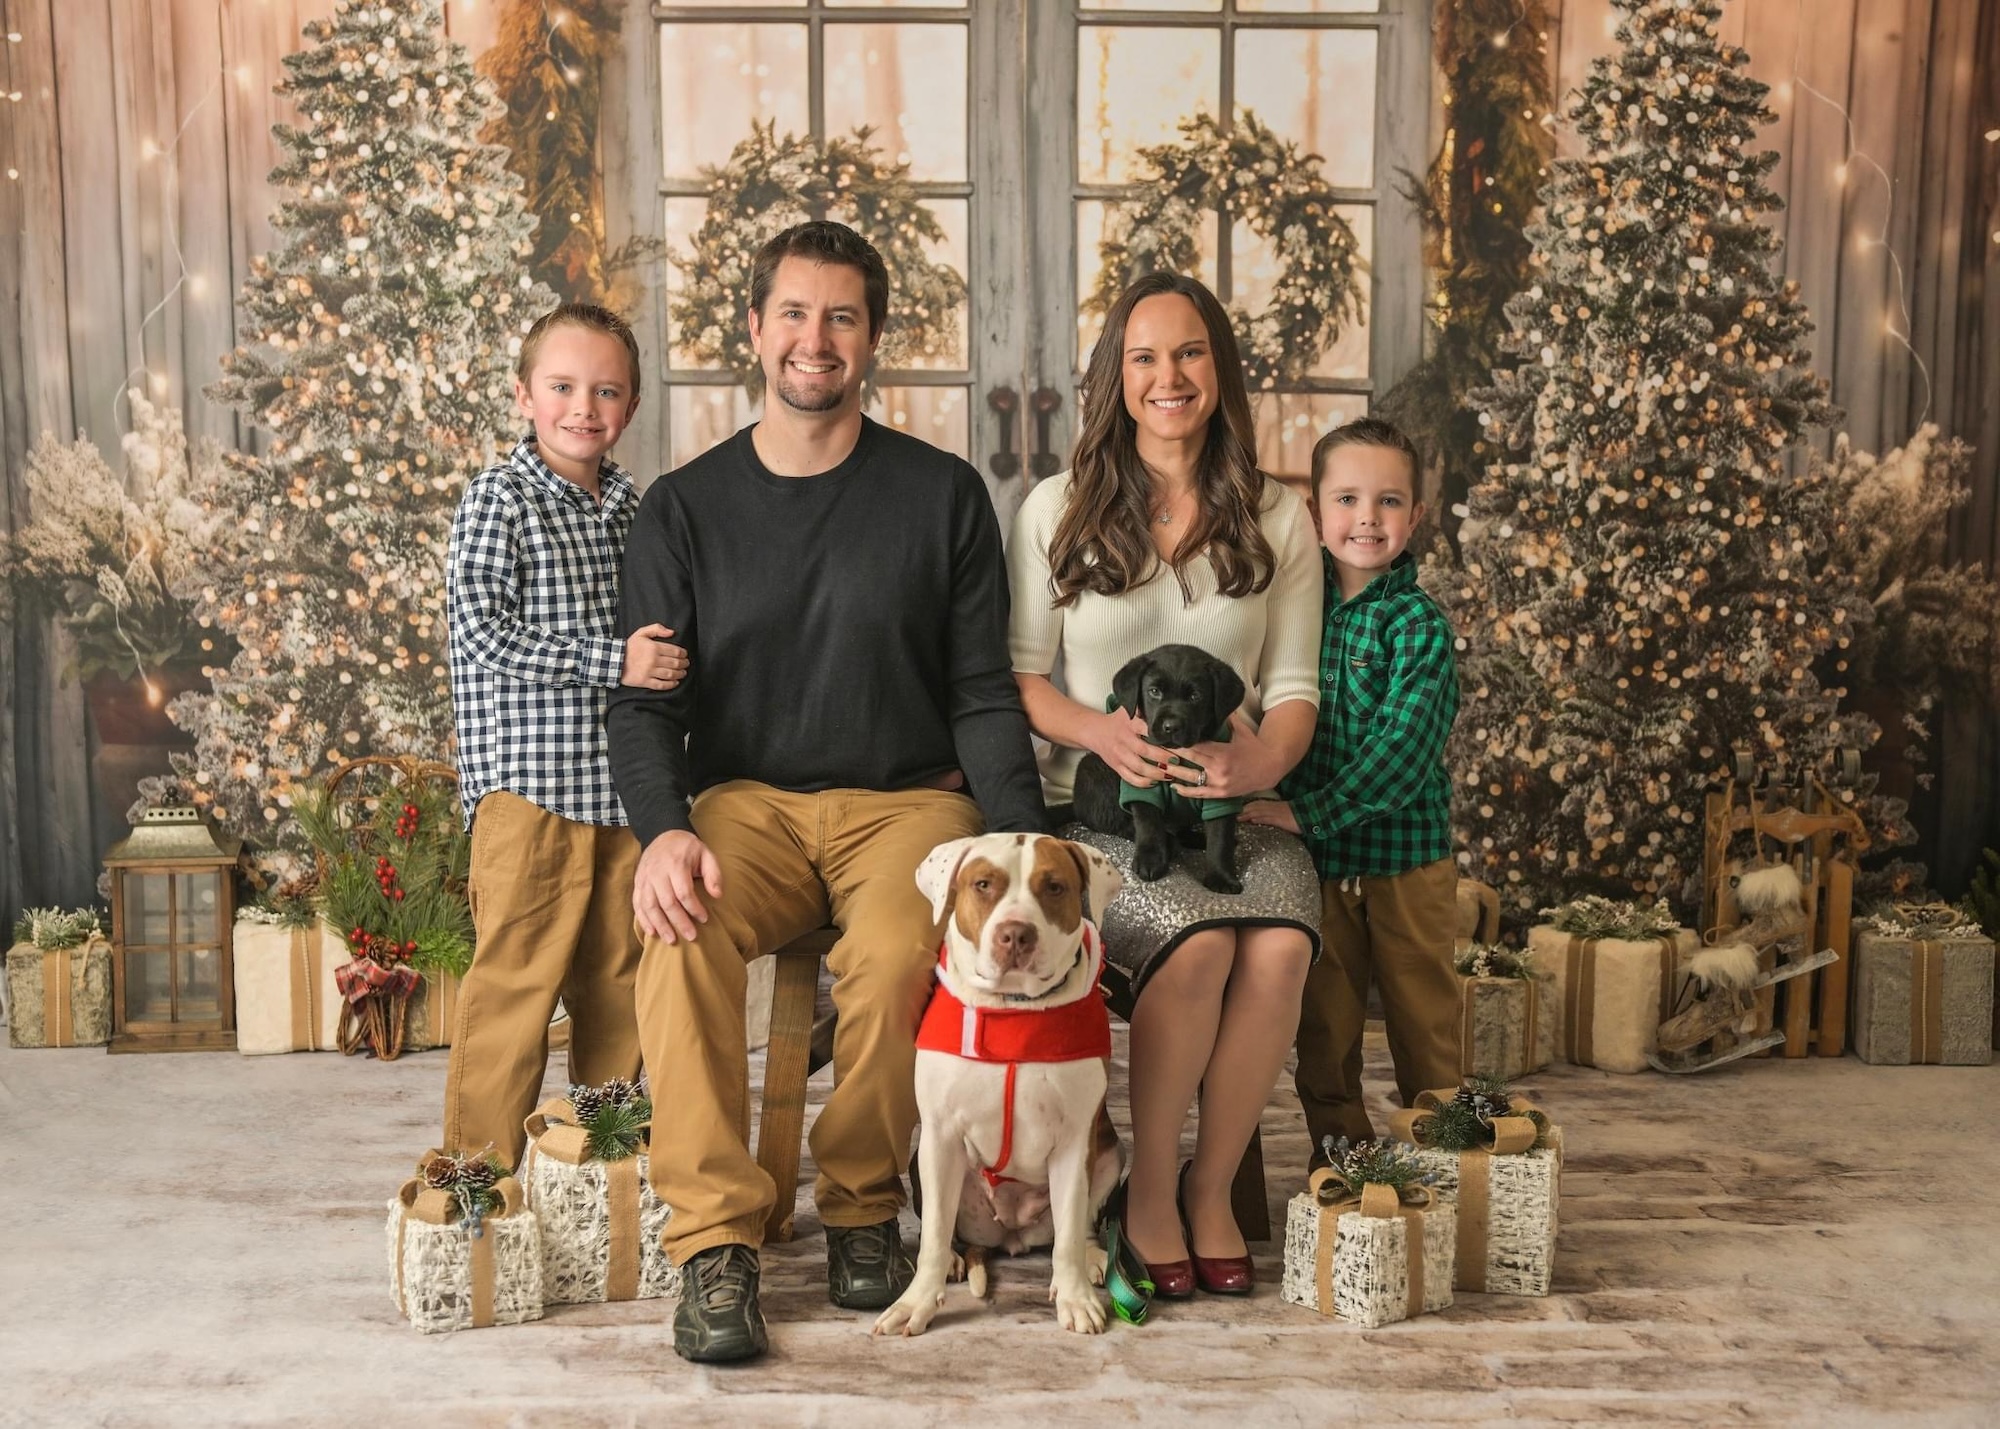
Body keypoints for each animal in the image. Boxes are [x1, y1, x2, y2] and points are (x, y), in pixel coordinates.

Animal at [872, 828, 1128, 1328]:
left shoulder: (1075, 1143)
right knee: (948, 1228)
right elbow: (933, 1234)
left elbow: (1070, 1232)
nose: (1016, 934)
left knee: (1080, 1225)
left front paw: (1075, 1298)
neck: (1014, 1008)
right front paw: (915, 1303)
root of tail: (1011, 1236)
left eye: (1054, 887)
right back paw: (957, 1258)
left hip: (1109, 1152)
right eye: (984, 885)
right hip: (922, 1162)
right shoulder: (940, 1135)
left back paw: (1093, 1257)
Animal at [1072, 644, 1240, 888]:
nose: (1171, 726)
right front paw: (1150, 861)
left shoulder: (1220, 792)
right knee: (1120, 824)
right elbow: (1148, 825)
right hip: (1093, 770)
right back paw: (1169, 843)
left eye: (1195, 696)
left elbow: (1220, 837)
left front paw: (1221, 878)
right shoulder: (1143, 783)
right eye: (1154, 691)